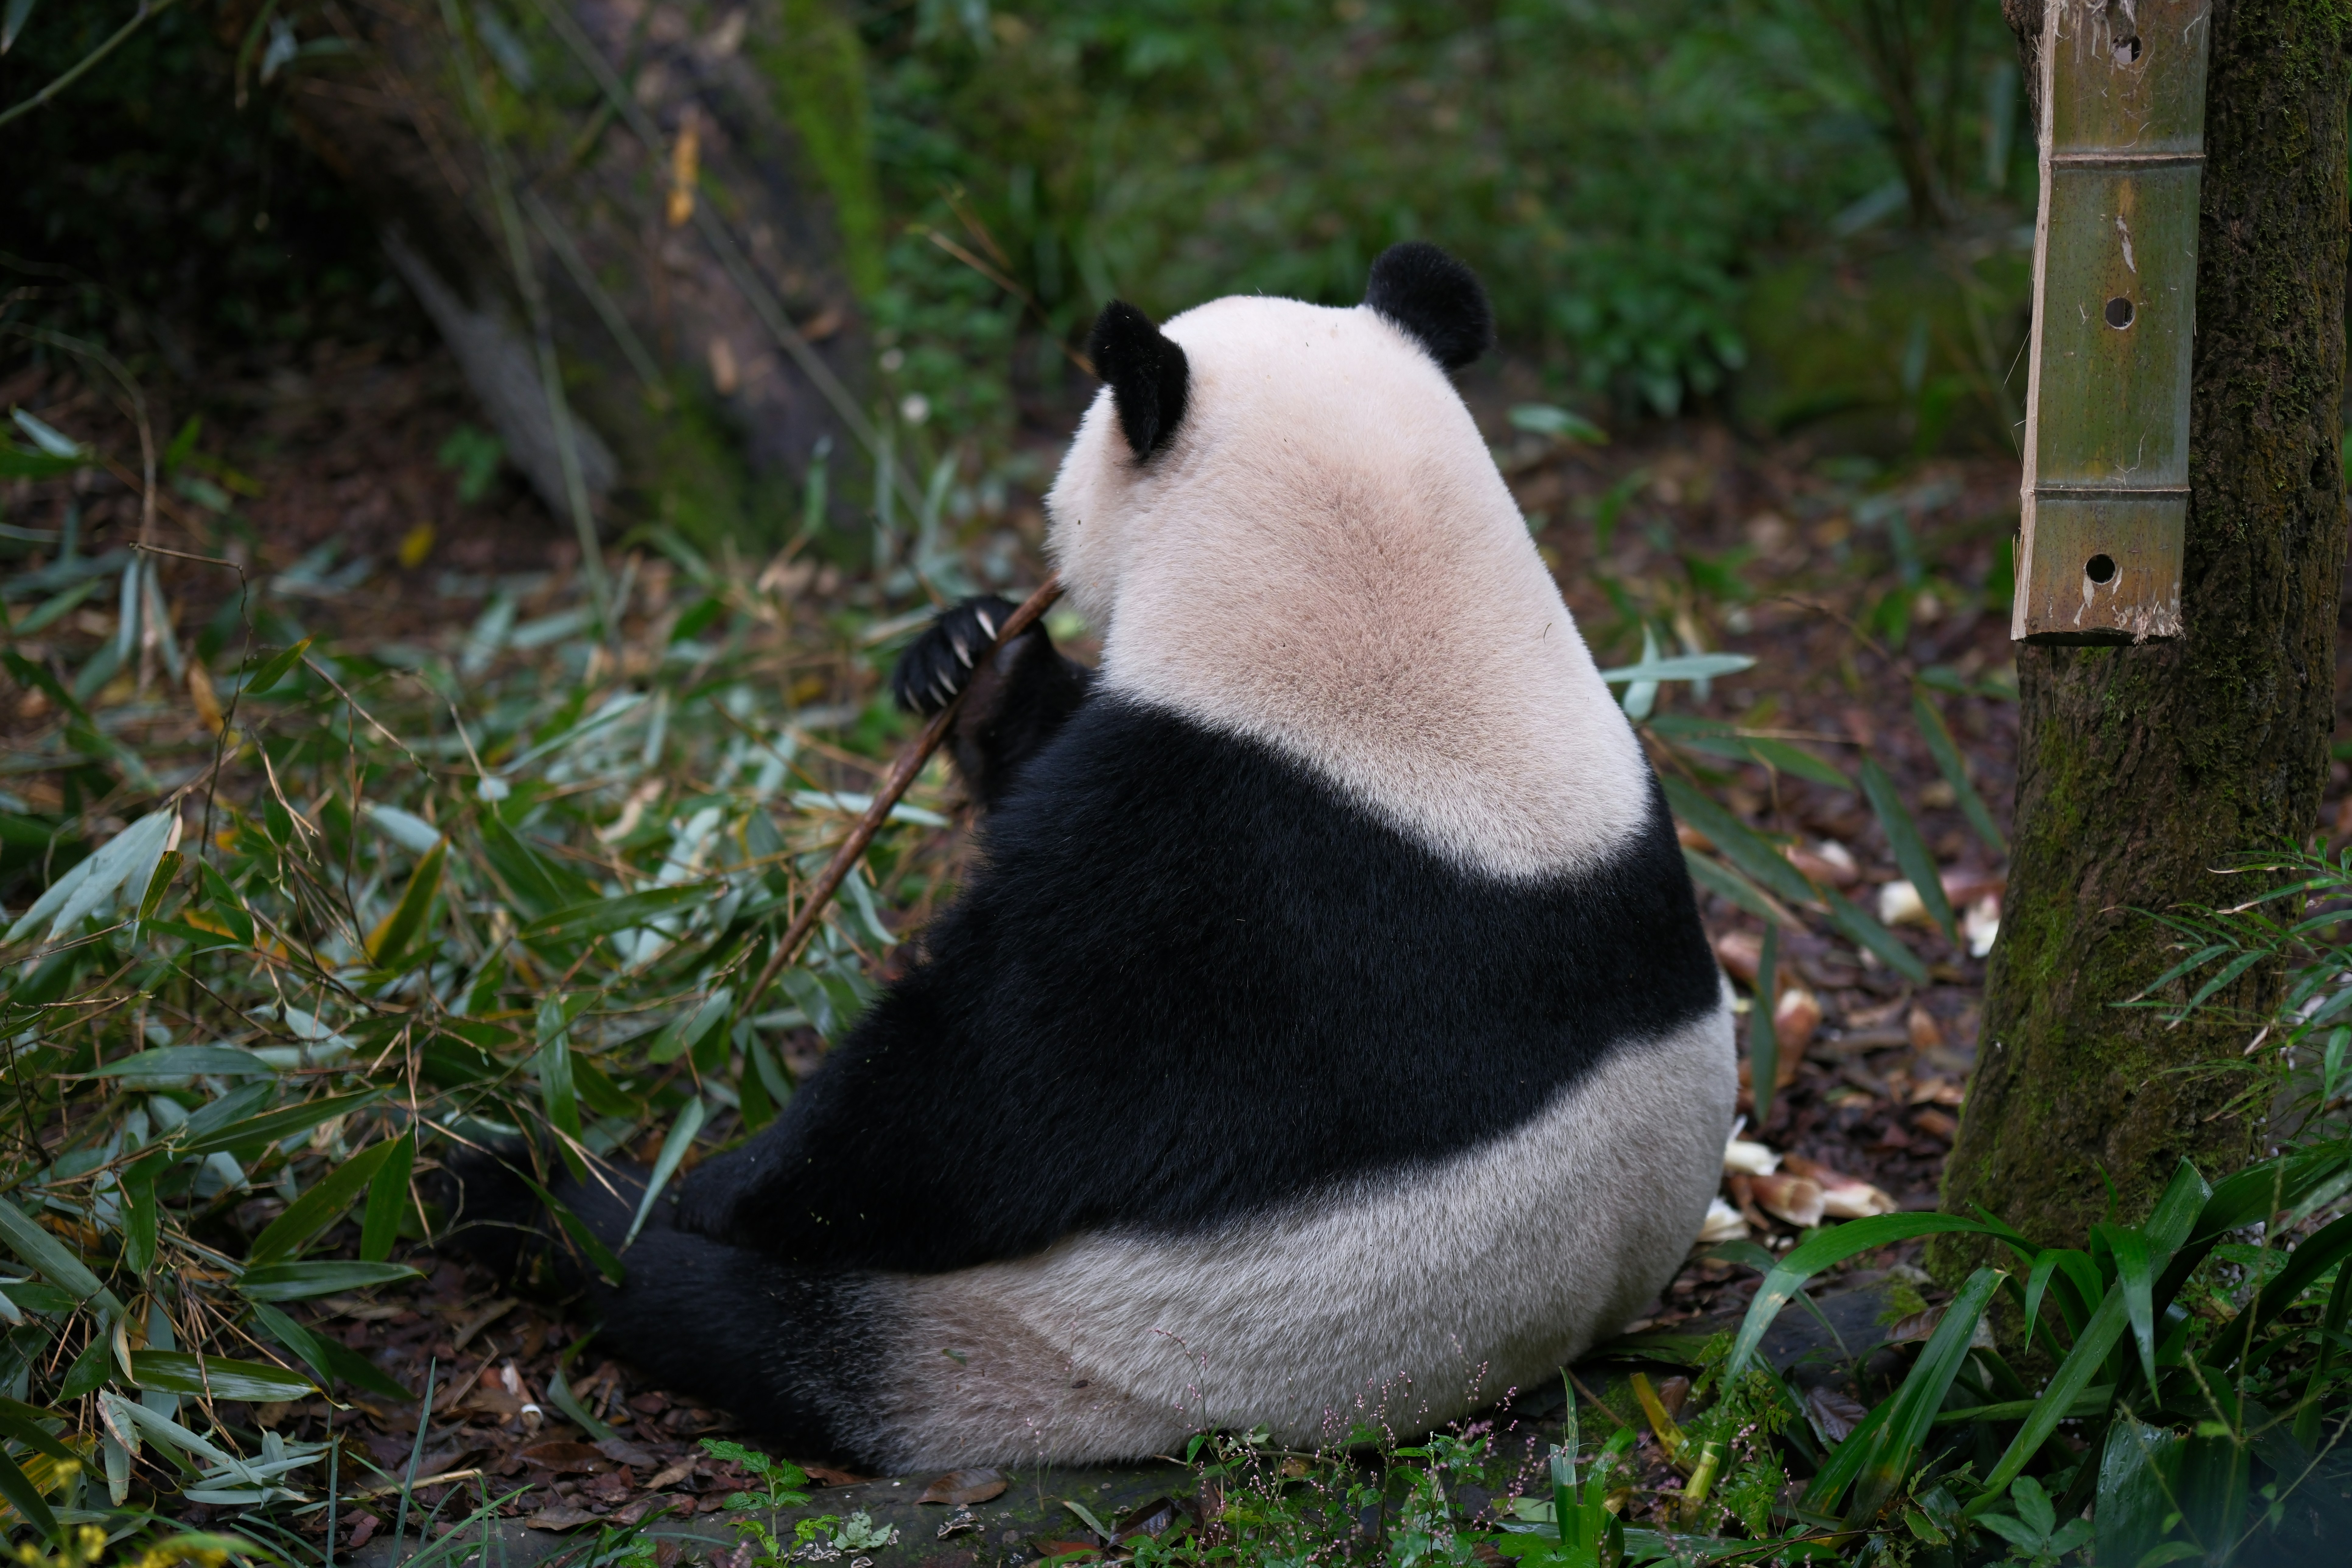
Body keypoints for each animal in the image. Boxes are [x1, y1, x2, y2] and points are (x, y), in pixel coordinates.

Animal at [485, 242, 1734, 1472]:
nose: (1045, 522)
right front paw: (971, 658)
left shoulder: (1219, 887)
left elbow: (981, 1094)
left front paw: (715, 1184)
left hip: (1068, 1333)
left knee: (734, 1312)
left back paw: (537, 1190)